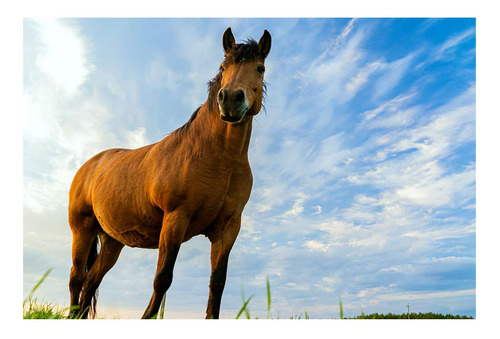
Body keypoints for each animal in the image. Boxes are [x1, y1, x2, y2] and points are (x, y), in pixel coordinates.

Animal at [68, 27, 272, 320]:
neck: (220, 159)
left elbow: (217, 283)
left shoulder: (228, 228)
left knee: (91, 282)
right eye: (223, 67)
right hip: (82, 230)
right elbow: (162, 278)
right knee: (76, 279)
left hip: (112, 242)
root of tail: (92, 165)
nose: (231, 100)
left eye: (260, 68)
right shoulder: (176, 218)